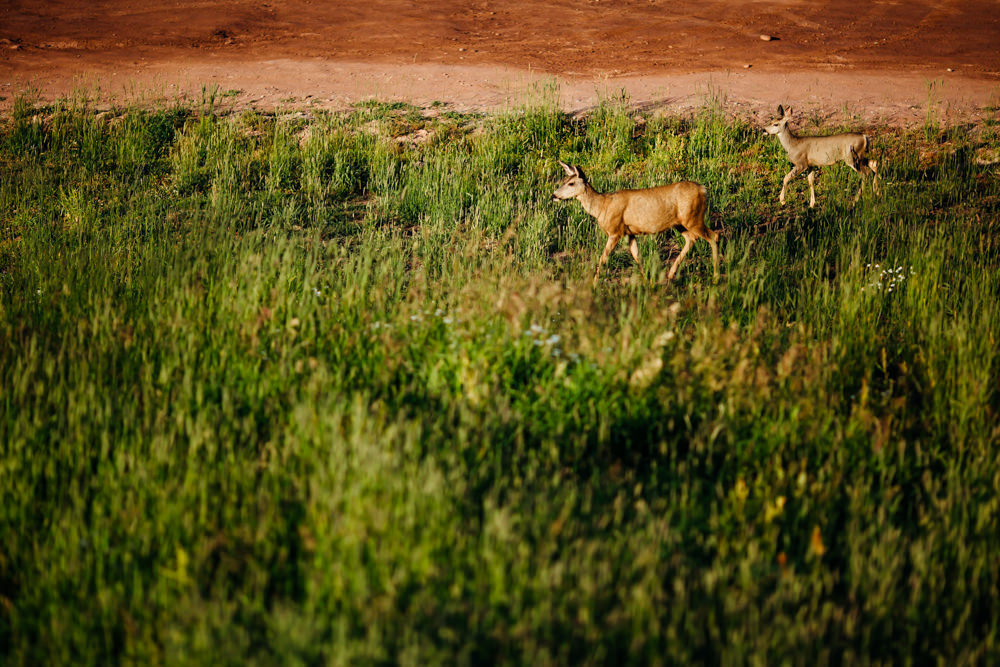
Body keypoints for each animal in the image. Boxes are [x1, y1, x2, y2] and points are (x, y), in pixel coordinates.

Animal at [552, 164, 724, 288]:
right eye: (563, 181)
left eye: (571, 183)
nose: (553, 195)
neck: (602, 206)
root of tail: (703, 189)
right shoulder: (630, 233)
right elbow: (636, 255)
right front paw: (647, 282)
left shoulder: (615, 231)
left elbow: (603, 257)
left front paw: (593, 285)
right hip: (680, 223)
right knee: (691, 239)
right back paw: (670, 275)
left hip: (693, 218)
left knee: (713, 236)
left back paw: (716, 277)